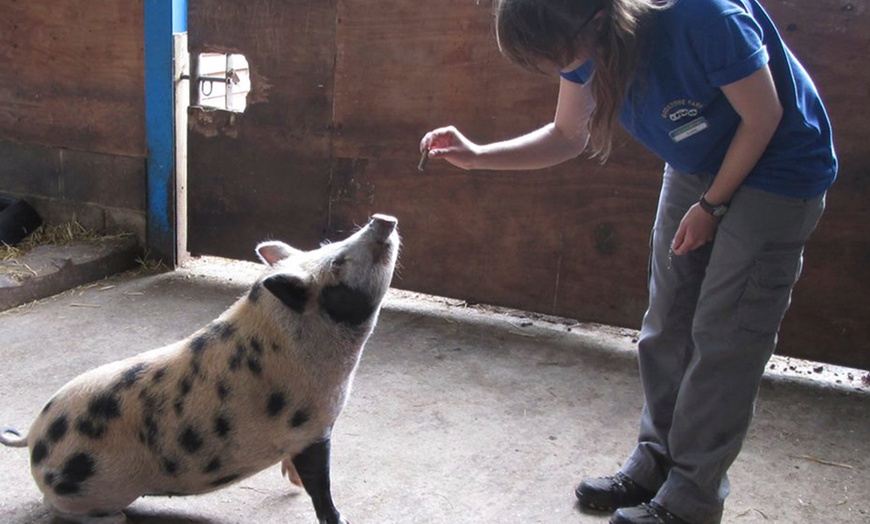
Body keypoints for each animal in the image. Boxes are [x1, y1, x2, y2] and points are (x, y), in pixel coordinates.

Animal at [0, 214, 402, 524]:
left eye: (330, 244)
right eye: (338, 263)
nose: (382, 218)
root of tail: (33, 437)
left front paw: (293, 485)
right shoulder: (312, 428)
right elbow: (322, 486)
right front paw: (340, 517)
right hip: (82, 491)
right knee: (56, 507)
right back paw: (117, 518)